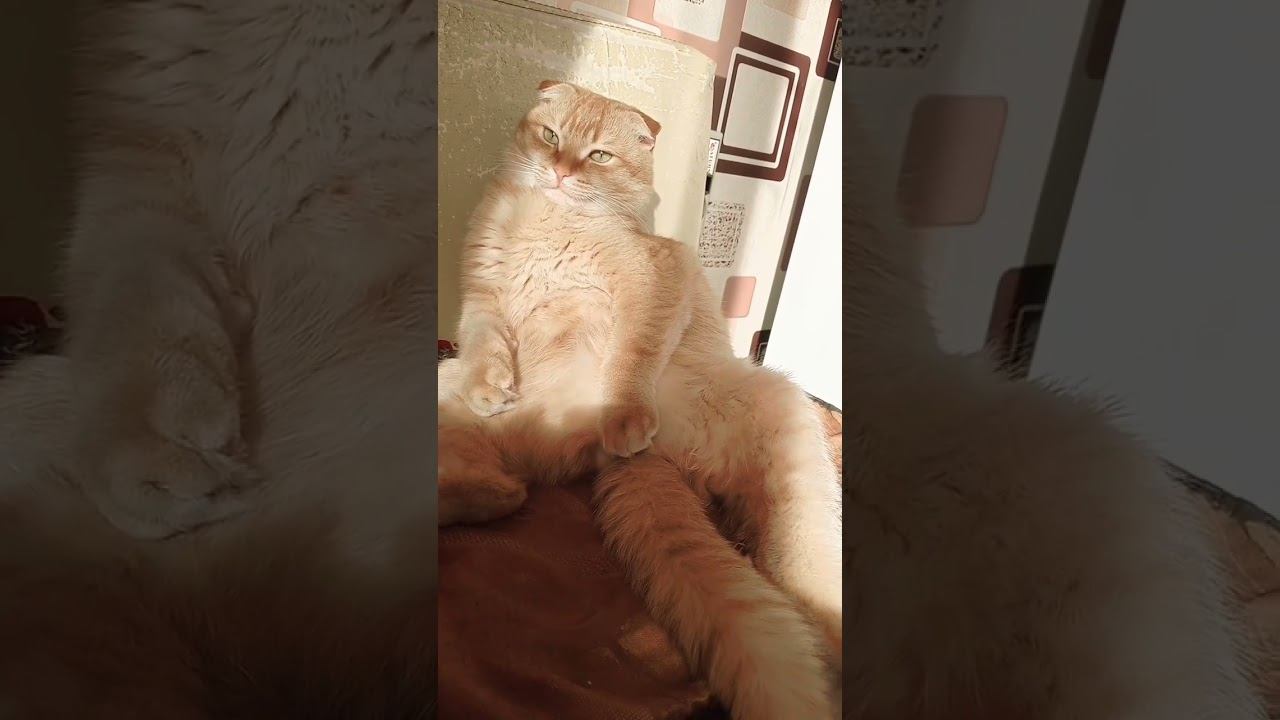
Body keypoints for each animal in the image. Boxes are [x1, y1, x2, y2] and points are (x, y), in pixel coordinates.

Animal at [437, 81, 843, 720]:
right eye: (551, 136)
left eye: (599, 156)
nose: (560, 171)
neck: (548, 219)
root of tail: (665, 463)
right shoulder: (481, 302)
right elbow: (483, 343)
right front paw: (489, 387)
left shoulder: (655, 280)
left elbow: (633, 355)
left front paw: (624, 416)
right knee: (489, 491)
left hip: (791, 440)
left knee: (799, 573)